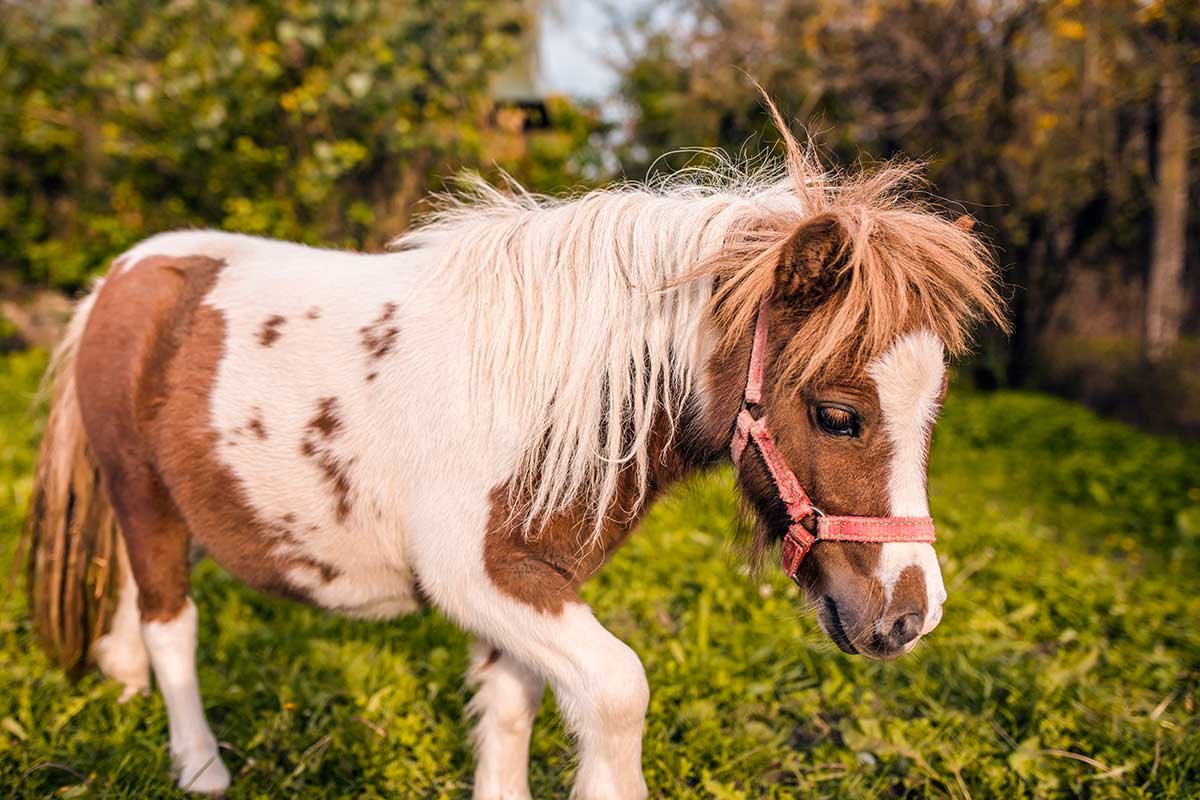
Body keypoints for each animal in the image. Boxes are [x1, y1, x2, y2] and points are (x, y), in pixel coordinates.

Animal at [23, 108, 1004, 798]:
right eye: (838, 415)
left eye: (933, 411)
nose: (911, 616)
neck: (550, 400)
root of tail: (122, 277)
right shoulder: (481, 577)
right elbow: (616, 691)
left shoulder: (535, 586)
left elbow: (511, 708)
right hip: (142, 493)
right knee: (171, 623)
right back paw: (200, 768)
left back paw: (120, 683)